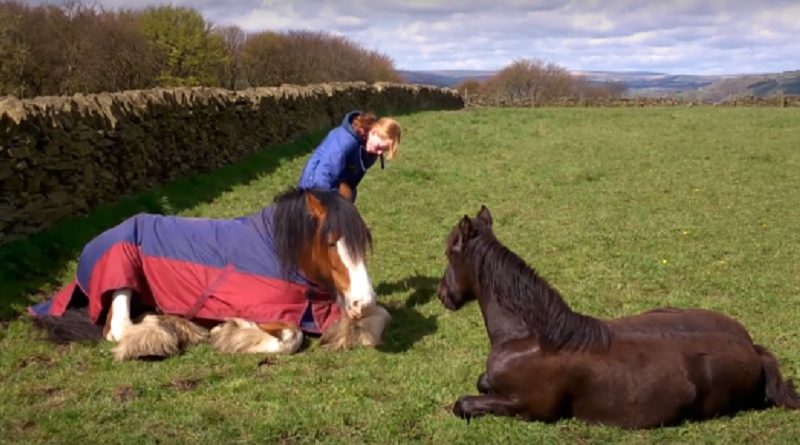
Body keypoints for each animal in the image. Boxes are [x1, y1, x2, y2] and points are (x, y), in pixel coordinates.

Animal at [438, 206, 800, 428]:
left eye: (449, 252)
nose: (443, 294)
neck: (530, 337)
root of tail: (753, 348)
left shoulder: (529, 407)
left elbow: (464, 403)